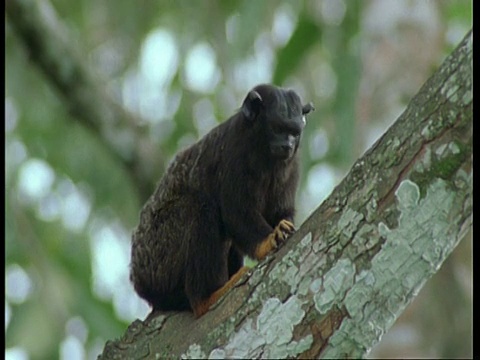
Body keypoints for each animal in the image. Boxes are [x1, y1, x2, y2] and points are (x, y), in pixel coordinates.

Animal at [129, 83, 316, 316]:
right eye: (277, 128)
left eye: (294, 133)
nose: (287, 145)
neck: (264, 155)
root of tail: (139, 280)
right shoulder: (234, 153)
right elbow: (235, 212)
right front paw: (269, 240)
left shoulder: (292, 164)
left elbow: (280, 212)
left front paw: (283, 226)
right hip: (158, 257)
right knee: (200, 208)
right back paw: (206, 297)